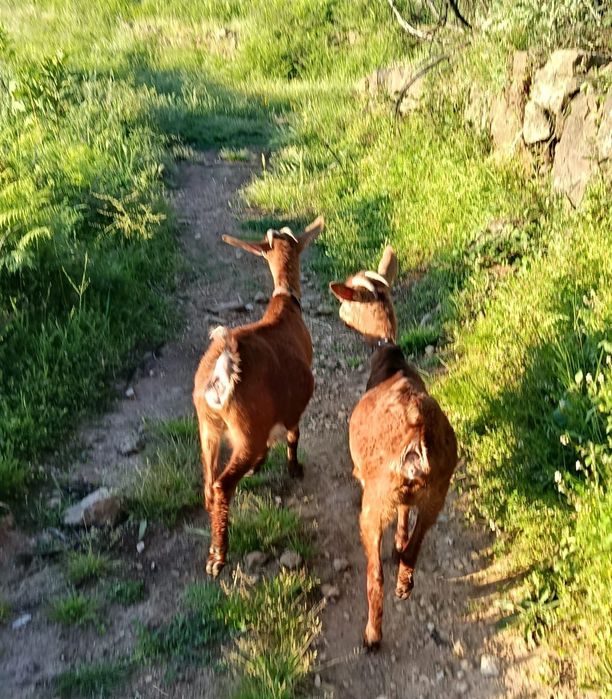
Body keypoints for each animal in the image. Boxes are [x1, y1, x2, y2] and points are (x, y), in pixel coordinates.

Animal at [193, 216, 324, 577]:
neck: (284, 308)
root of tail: (225, 365)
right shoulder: (292, 405)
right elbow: (293, 435)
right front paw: (294, 468)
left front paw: (261, 466)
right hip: (244, 426)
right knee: (222, 485)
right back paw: (217, 557)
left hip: (208, 424)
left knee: (209, 483)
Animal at [329, 246, 457, 648]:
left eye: (348, 294)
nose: (339, 313)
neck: (390, 360)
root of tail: (418, 435)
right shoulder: (409, 497)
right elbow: (404, 520)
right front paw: (399, 543)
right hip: (436, 492)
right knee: (416, 543)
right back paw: (405, 584)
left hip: (376, 499)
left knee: (374, 576)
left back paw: (373, 634)